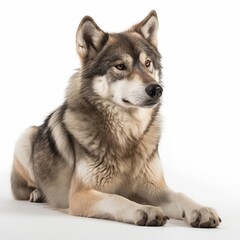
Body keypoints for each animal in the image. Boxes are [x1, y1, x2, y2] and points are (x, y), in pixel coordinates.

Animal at [10, 9, 221, 227]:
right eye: (120, 66)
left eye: (147, 63)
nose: (157, 89)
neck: (128, 135)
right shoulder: (81, 194)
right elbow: (118, 198)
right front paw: (145, 210)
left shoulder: (156, 189)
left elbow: (181, 195)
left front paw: (200, 209)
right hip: (25, 136)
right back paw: (36, 193)